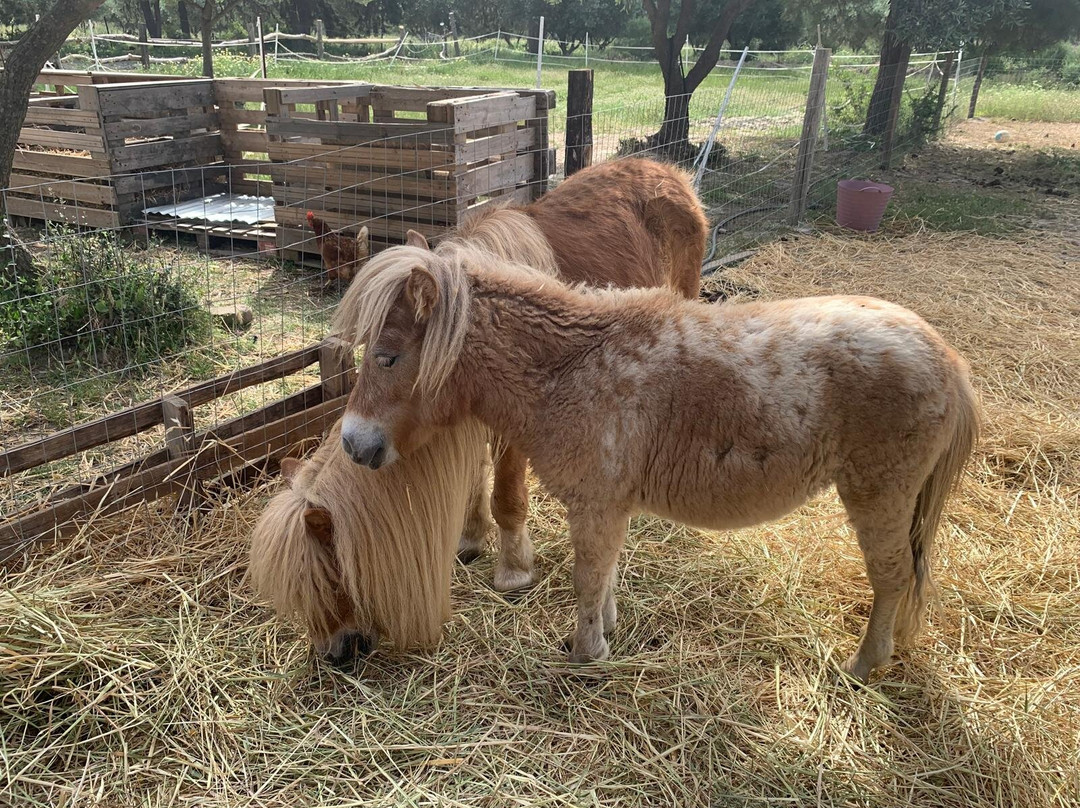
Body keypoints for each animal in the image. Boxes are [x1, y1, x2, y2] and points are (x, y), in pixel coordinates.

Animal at [332, 244, 980, 682]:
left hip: (879, 495)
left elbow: (587, 579)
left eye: (388, 357)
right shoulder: (611, 507)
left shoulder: (594, 505)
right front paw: (607, 632)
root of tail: (947, 358)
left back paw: (864, 665)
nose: (355, 444)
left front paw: (586, 656)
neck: (572, 365)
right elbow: (606, 576)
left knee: (892, 578)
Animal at [336, 157, 707, 597]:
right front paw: (471, 538)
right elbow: (476, 481)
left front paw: (514, 568)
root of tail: (667, 171)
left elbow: (506, 496)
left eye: (388, 359)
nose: (352, 444)